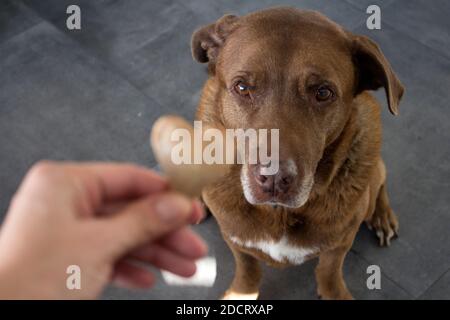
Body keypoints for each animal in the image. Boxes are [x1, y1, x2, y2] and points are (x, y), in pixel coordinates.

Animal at [190, 7, 404, 300]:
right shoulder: (235, 239)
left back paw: (382, 215)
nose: (274, 179)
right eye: (242, 87)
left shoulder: (339, 244)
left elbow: (329, 271)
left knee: (380, 182)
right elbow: (247, 269)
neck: (279, 212)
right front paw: (241, 294)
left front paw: (333, 292)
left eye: (323, 92)